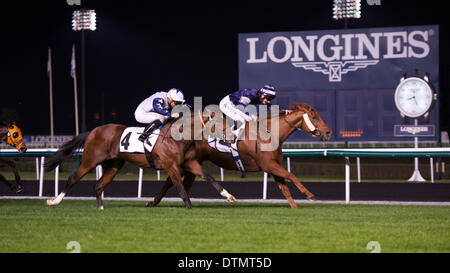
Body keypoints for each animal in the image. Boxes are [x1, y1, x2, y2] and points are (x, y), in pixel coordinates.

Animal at [44, 113, 236, 209]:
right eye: (218, 125)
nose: (234, 137)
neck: (178, 137)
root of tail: (93, 131)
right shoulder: (171, 166)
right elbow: (180, 188)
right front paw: (189, 207)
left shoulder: (188, 163)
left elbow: (208, 177)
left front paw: (228, 195)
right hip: (89, 160)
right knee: (73, 178)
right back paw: (54, 201)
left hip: (113, 165)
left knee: (98, 185)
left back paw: (101, 207)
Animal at [149, 102, 332, 208]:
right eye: (314, 116)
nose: (328, 132)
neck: (269, 134)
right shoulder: (268, 165)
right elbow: (291, 175)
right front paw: (310, 195)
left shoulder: (273, 166)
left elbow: (285, 190)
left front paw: (296, 208)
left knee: (173, 180)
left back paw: (155, 202)